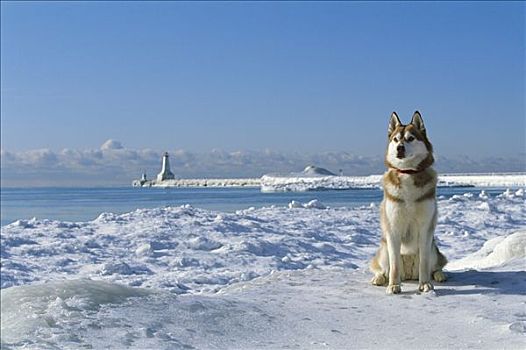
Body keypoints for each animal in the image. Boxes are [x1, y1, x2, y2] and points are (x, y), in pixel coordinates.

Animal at [372, 111, 450, 292]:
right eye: (395, 139)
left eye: (410, 138)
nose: (400, 148)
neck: (407, 172)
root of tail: (408, 275)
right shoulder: (393, 227)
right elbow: (393, 265)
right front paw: (394, 285)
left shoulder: (425, 227)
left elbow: (424, 263)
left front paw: (425, 284)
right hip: (384, 249)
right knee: (382, 268)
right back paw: (379, 278)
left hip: (433, 248)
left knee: (436, 265)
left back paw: (439, 275)